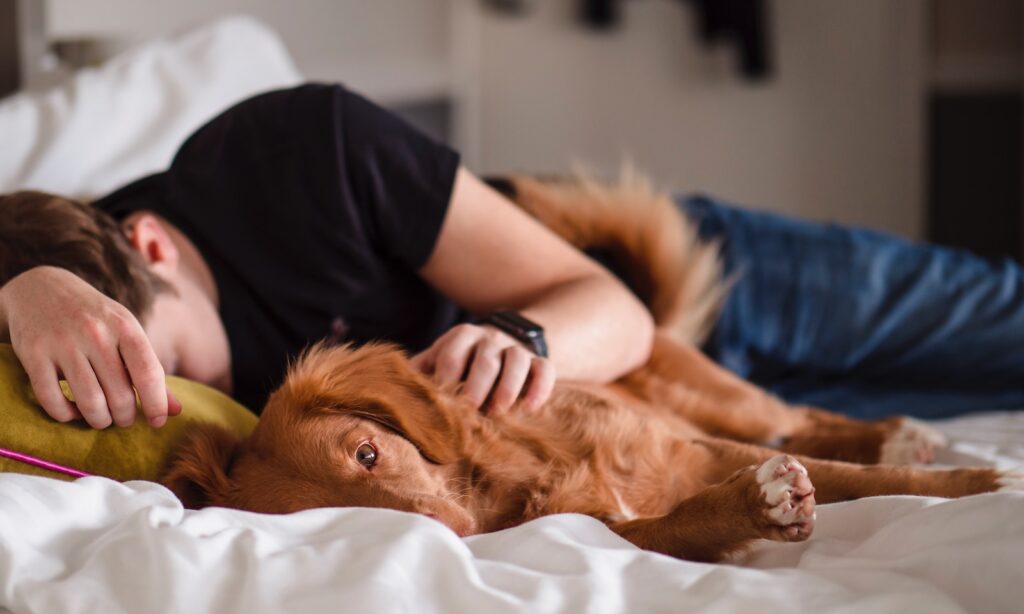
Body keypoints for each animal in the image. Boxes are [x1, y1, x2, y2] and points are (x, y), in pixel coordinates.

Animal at [163, 174, 1019, 564]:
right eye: (338, 517)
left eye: (369, 453)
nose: (452, 533)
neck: (514, 475)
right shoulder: (610, 526)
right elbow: (681, 521)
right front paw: (755, 507)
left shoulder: (693, 445)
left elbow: (872, 481)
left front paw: (986, 482)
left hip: (722, 399)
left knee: (801, 417)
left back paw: (899, 434)